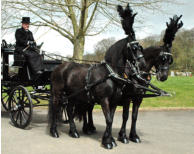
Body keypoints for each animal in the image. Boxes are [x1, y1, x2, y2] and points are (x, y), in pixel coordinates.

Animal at [48, 4, 146, 149]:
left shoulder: (114, 101)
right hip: (58, 92)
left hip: (72, 95)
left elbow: (111, 119)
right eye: (133, 48)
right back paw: (54, 131)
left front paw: (110, 139)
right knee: (56, 108)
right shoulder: (104, 99)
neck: (110, 74)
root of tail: (59, 67)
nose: (142, 64)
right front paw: (108, 142)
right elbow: (109, 119)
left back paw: (73, 131)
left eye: (140, 47)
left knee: (70, 111)